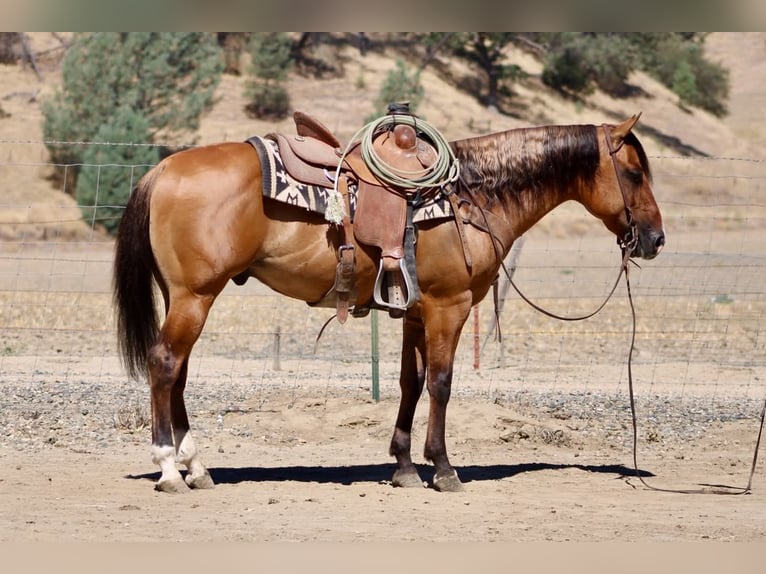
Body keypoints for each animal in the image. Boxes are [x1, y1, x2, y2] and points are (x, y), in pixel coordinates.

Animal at [113, 113, 665, 493]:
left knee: (178, 373)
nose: (655, 239)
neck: (471, 197)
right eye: (635, 173)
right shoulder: (448, 306)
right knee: (165, 364)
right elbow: (441, 384)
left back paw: (197, 467)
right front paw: (443, 468)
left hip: (184, 296)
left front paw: (403, 467)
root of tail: (164, 168)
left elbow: (410, 384)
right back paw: (168, 469)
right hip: (195, 296)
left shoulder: (415, 312)